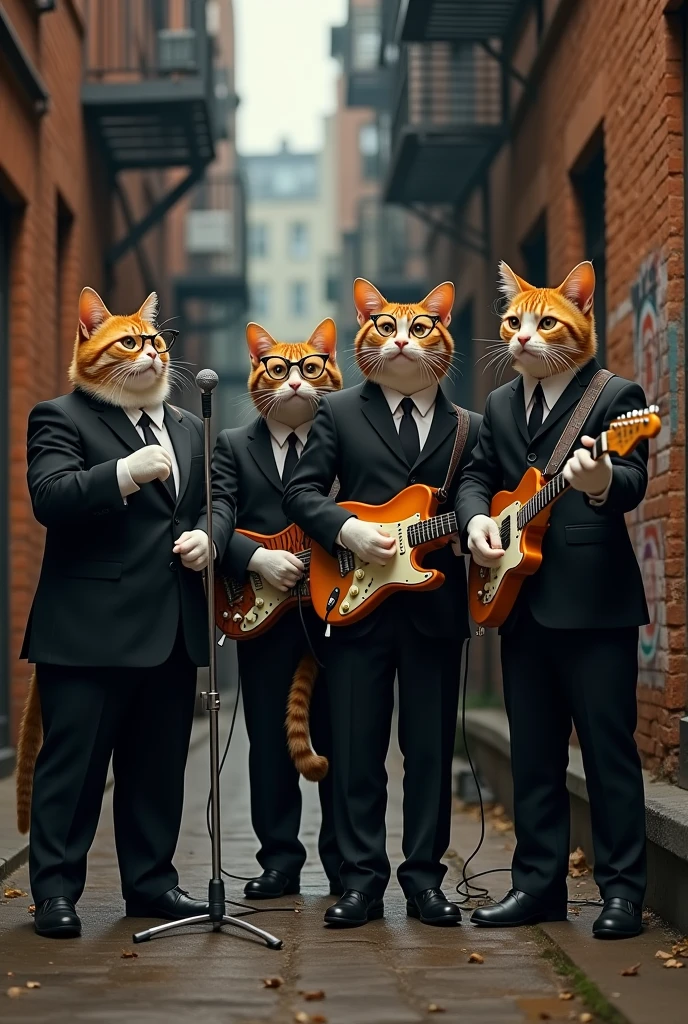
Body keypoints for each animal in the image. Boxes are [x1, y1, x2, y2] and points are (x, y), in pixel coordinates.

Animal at [18, 288, 177, 831]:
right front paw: (145, 460)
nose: (154, 354)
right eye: (129, 343)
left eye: (156, 340)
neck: (139, 410)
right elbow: (64, 488)